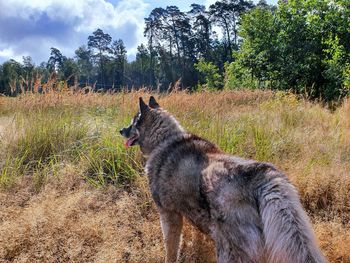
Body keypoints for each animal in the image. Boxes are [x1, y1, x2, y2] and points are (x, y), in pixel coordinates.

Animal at [119, 97, 326, 263]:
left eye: (133, 122)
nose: (121, 130)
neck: (164, 140)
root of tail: (261, 175)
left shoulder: (168, 215)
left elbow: (170, 250)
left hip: (230, 251)